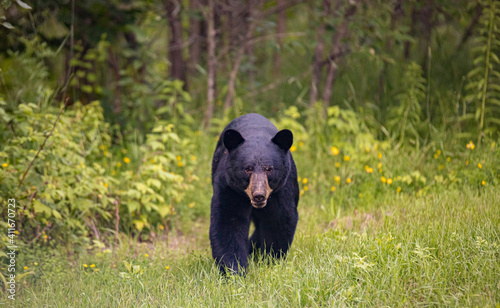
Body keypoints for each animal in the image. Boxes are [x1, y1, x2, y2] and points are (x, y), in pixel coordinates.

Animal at [209, 113, 298, 274]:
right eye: (247, 169)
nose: (259, 195)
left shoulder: (282, 188)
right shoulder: (230, 186)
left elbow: (279, 219)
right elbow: (228, 222)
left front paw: (270, 261)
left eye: (269, 169)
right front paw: (234, 271)